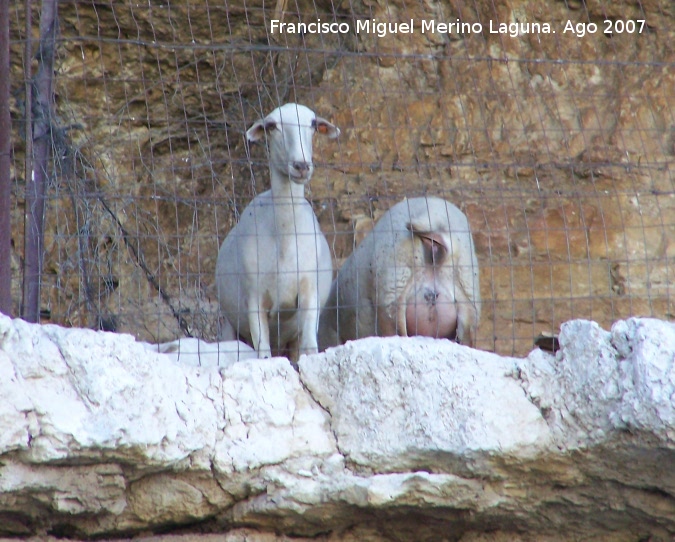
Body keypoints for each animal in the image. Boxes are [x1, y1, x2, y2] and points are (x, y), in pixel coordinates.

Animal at [218, 104, 338, 364]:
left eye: (313, 124)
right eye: (272, 126)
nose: (301, 166)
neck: (283, 237)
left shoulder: (309, 294)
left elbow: (310, 348)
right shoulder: (254, 299)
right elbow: (263, 353)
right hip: (230, 324)